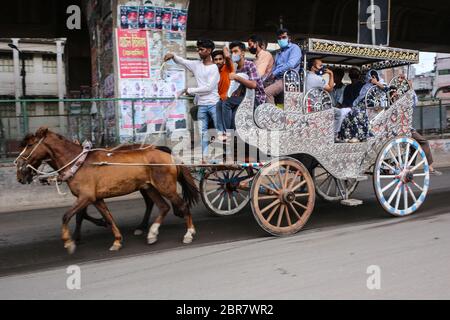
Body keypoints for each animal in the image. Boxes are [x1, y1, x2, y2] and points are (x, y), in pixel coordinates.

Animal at [16, 126, 199, 254]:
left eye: (30, 145)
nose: (19, 170)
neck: (78, 163)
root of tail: (168, 154)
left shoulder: (86, 197)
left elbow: (67, 216)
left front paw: (69, 242)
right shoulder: (96, 199)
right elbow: (108, 218)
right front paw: (116, 241)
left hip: (166, 187)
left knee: (182, 206)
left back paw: (189, 233)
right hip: (150, 187)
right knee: (163, 206)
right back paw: (151, 233)